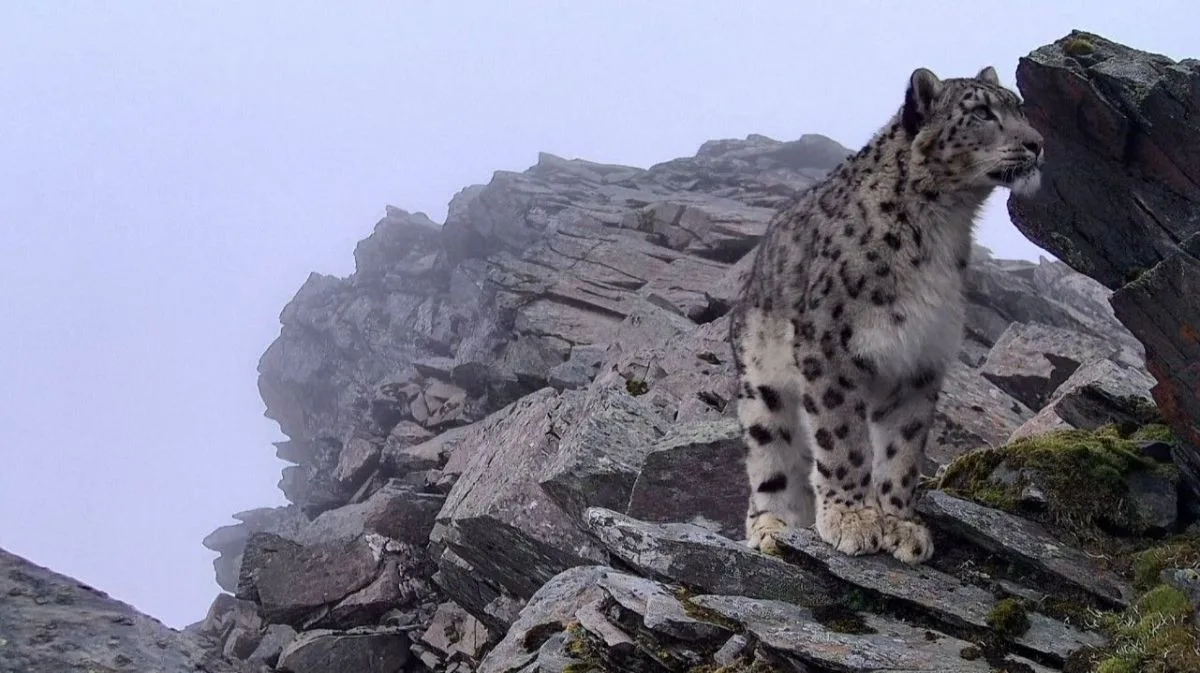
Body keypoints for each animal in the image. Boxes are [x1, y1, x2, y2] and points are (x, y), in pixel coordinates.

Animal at [728, 65, 1044, 564]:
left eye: (1019, 107)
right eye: (980, 112)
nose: (1037, 144)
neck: (942, 228)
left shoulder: (921, 358)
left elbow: (902, 451)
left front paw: (899, 525)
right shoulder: (831, 348)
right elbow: (844, 440)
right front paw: (852, 519)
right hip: (763, 389)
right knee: (770, 462)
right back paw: (772, 528)